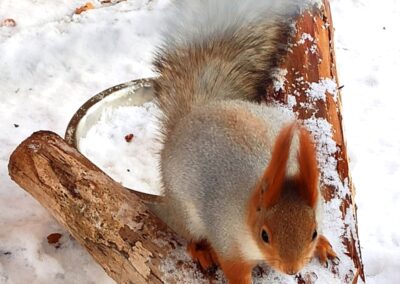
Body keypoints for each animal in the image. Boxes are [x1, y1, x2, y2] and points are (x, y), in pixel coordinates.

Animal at [148, 0, 336, 282]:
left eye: (312, 231)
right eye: (264, 235)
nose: (291, 269)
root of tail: (200, 110)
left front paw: (322, 243)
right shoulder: (227, 238)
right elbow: (235, 269)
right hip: (184, 209)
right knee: (189, 232)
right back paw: (200, 250)